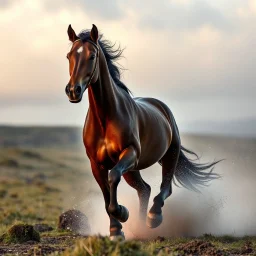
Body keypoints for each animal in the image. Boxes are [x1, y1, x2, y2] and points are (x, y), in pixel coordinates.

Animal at [65, 24, 221, 240]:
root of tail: (161, 107)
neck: (105, 118)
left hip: (169, 154)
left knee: (165, 187)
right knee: (144, 189)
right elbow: (106, 194)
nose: (73, 91)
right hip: (132, 171)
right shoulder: (96, 164)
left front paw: (122, 213)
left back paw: (153, 218)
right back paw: (139, 228)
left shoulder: (130, 153)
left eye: (92, 56)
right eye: (69, 55)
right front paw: (116, 230)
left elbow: (113, 177)